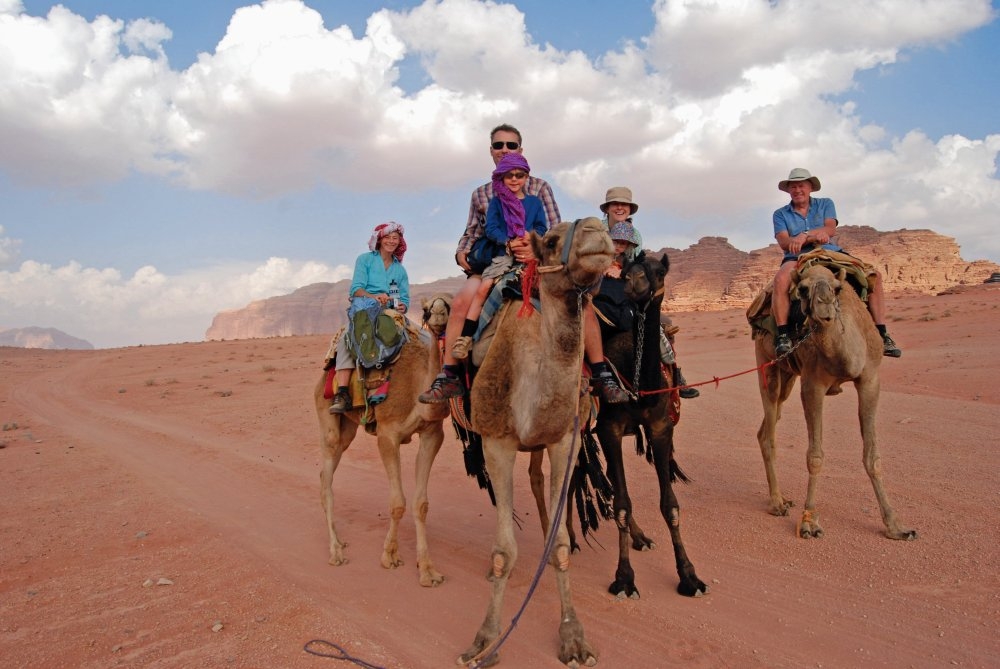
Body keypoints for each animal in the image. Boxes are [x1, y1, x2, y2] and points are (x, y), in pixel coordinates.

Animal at [458, 219, 612, 668]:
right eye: (551, 241)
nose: (597, 230)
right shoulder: (496, 442)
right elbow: (503, 552)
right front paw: (485, 640)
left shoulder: (565, 439)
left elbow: (560, 545)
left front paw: (574, 638)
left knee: (536, 479)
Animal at [752, 264, 916, 540]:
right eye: (802, 289)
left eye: (838, 289)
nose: (824, 309)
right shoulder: (813, 385)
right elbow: (815, 456)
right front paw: (809, 522)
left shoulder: (870, 380)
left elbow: (872, 456)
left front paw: (896, 525)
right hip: (767, 364)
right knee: (768, 431)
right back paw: (776, 503)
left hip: (788, 376)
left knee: (766, 426)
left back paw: (783, 499)